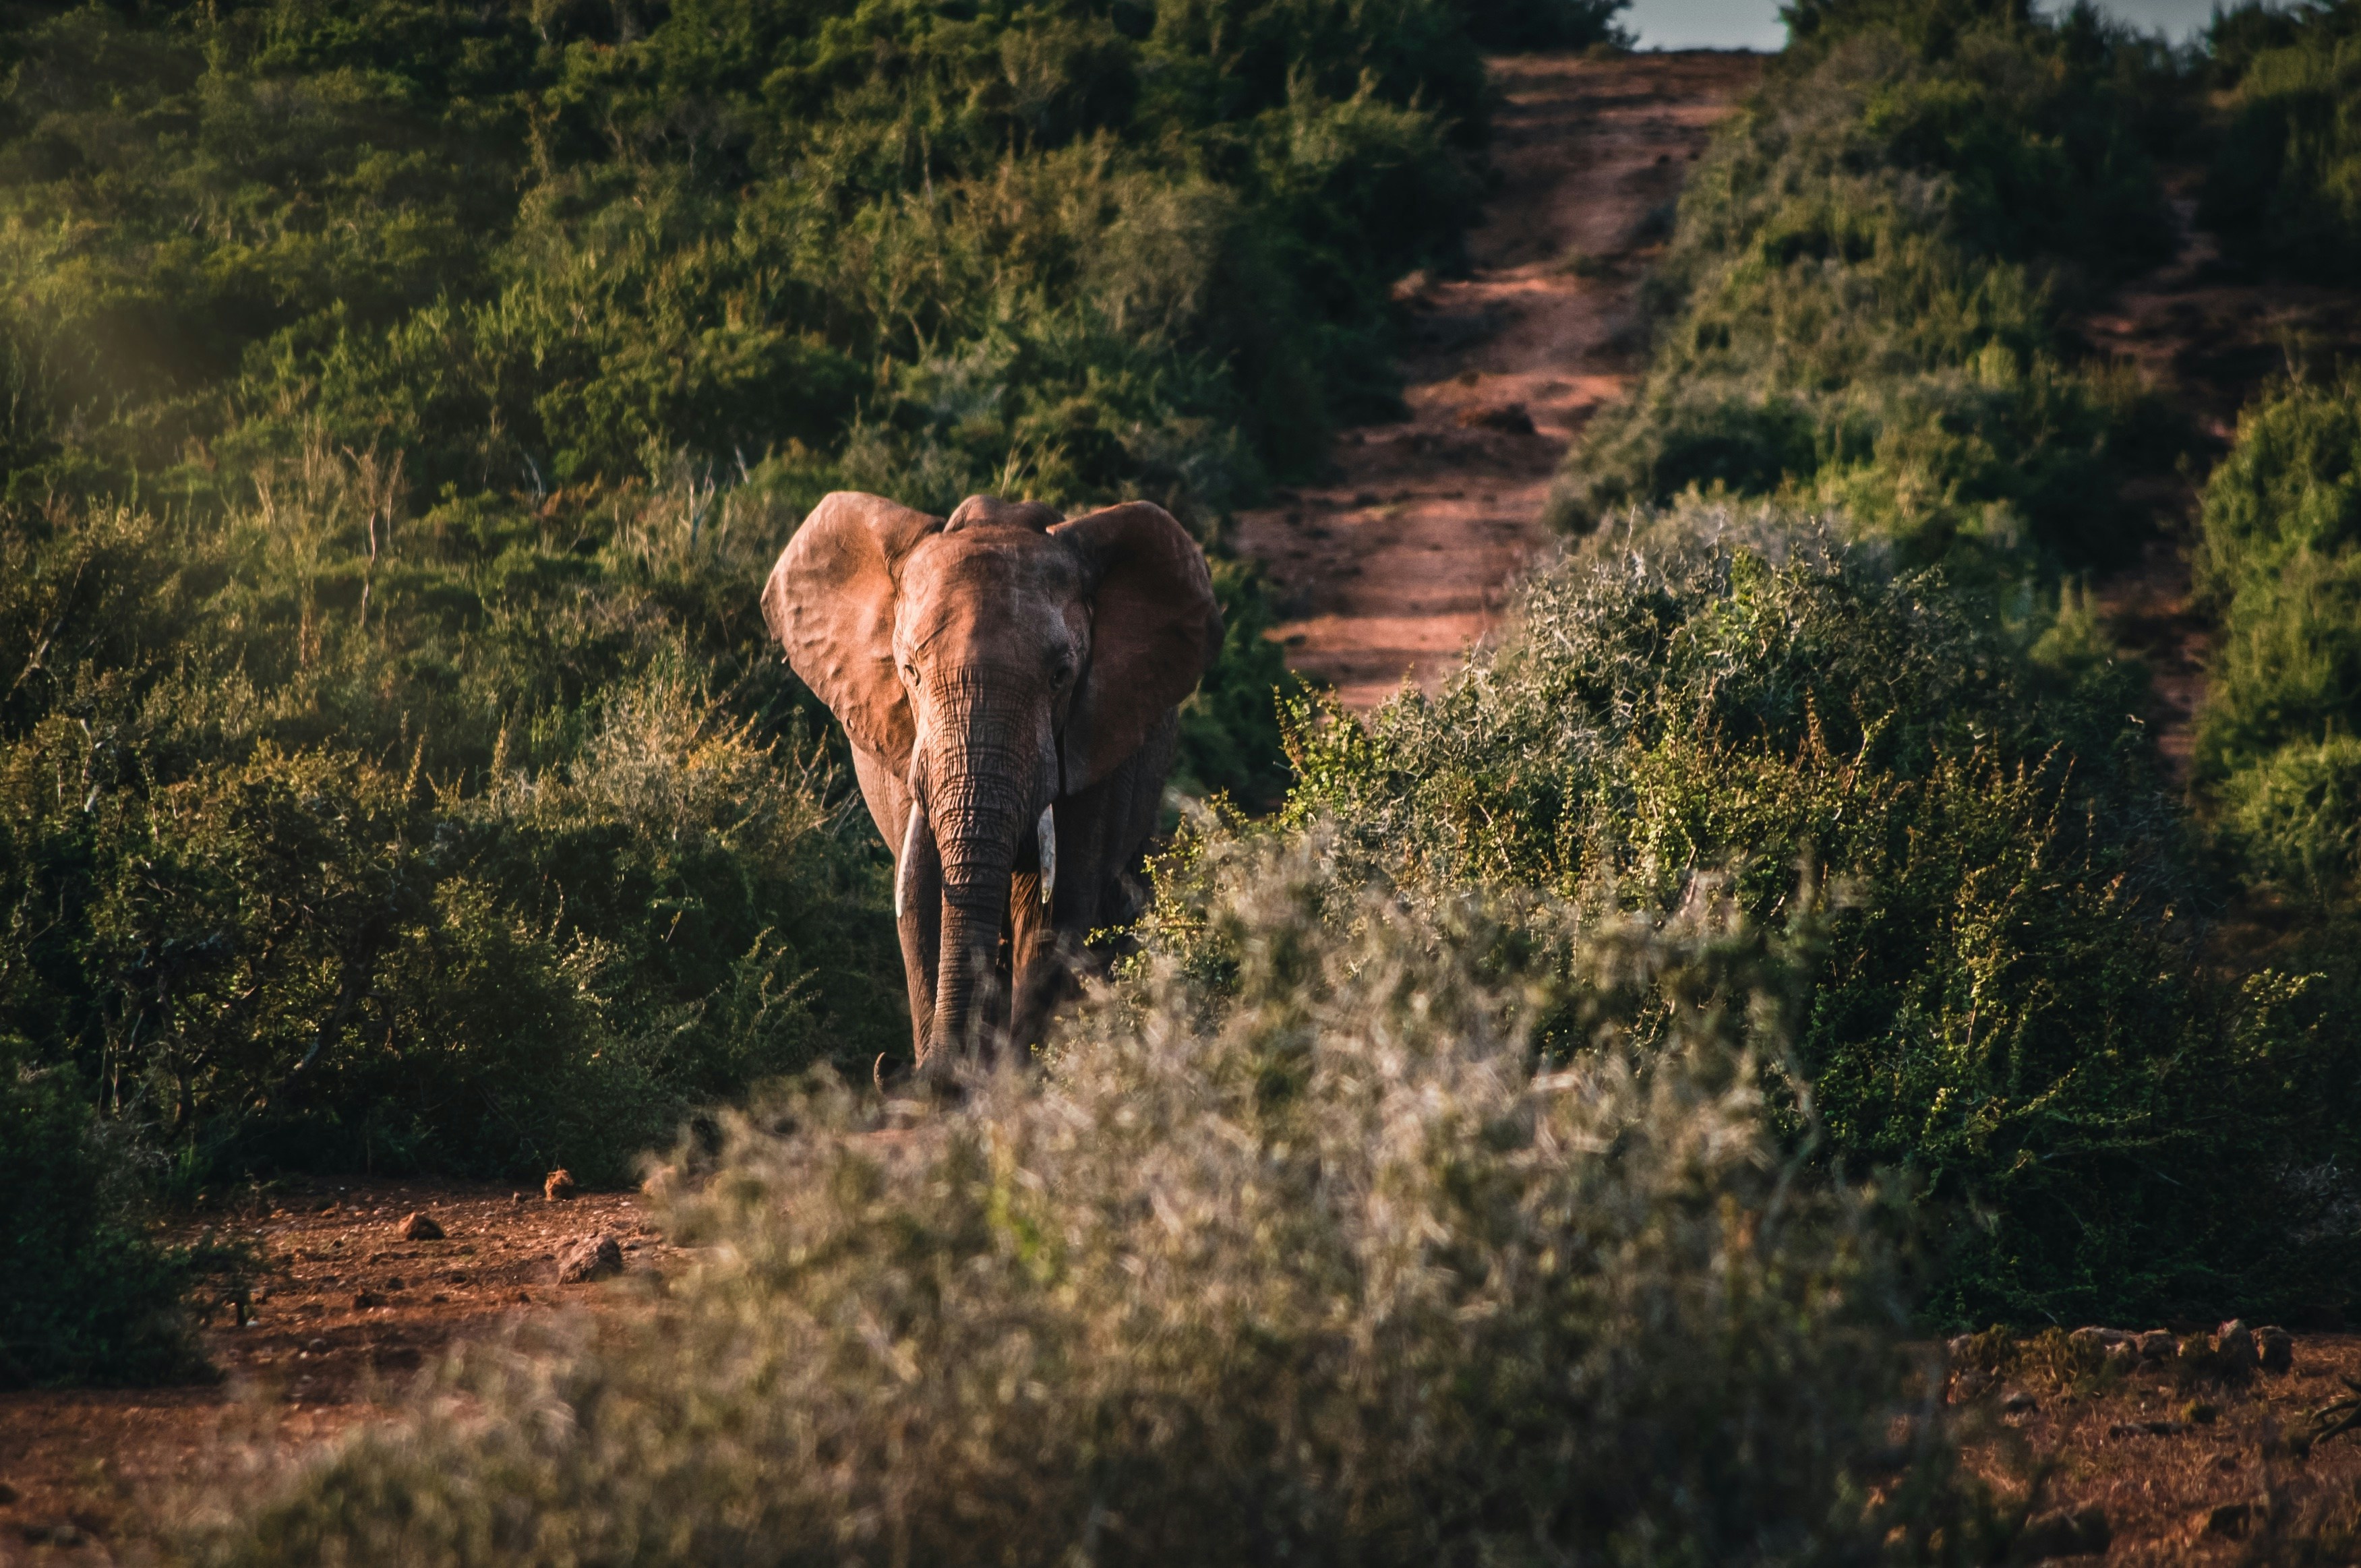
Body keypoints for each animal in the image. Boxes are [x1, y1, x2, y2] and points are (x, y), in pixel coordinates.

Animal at [763, 490, 1222, 1083]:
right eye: (910, 672)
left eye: (1061, 677)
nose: (894, 1068)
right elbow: (921, 899)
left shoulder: (1093, 747)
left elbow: (1054, 911)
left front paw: (1013, 1082)